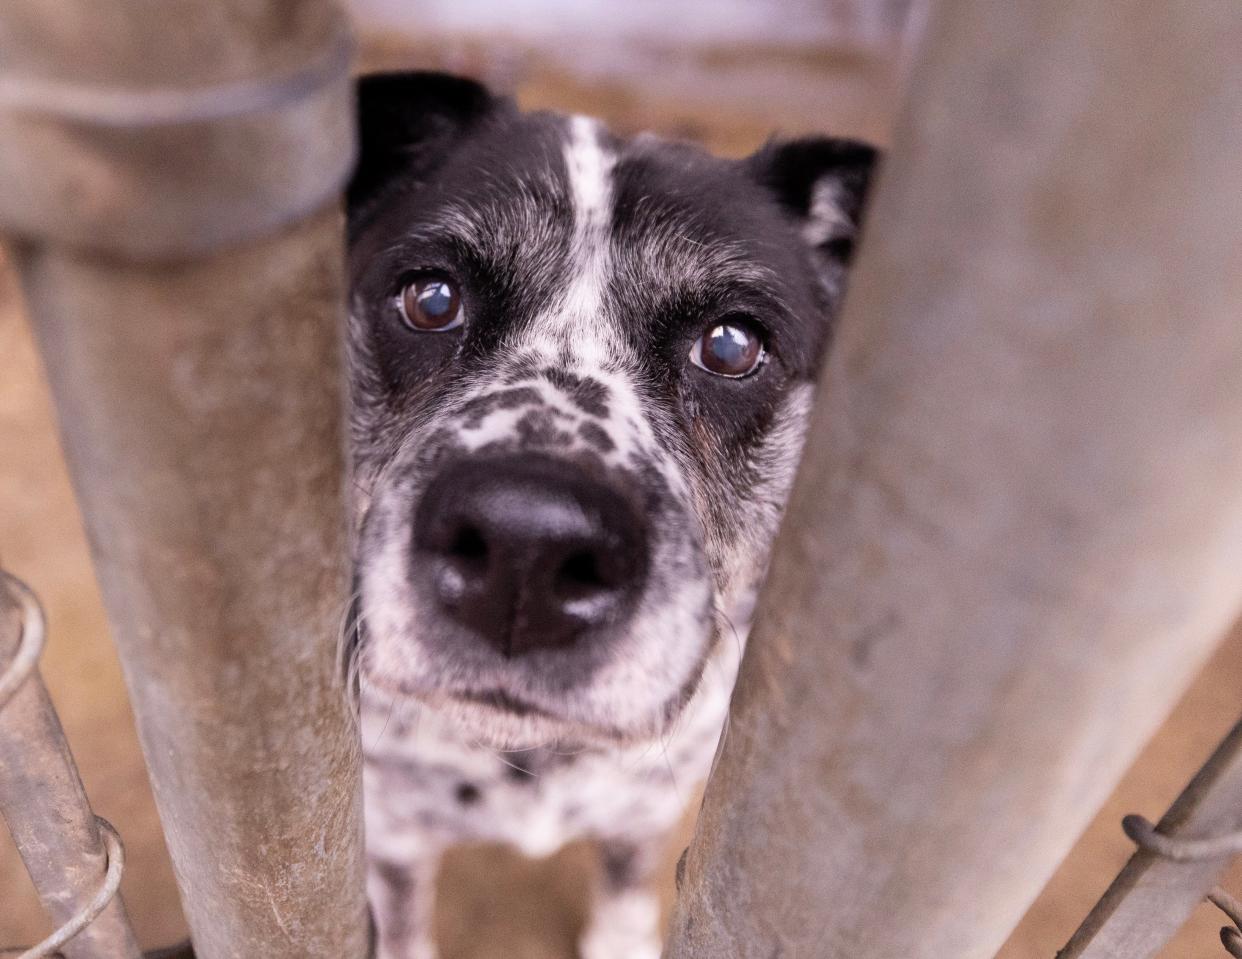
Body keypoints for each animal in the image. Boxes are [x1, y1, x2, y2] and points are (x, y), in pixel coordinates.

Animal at [345, 71, 879, 954]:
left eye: (732, 344)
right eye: (431, 297)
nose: (525, 546)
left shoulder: (651, 802)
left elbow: (630, 872)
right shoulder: (391, 829)